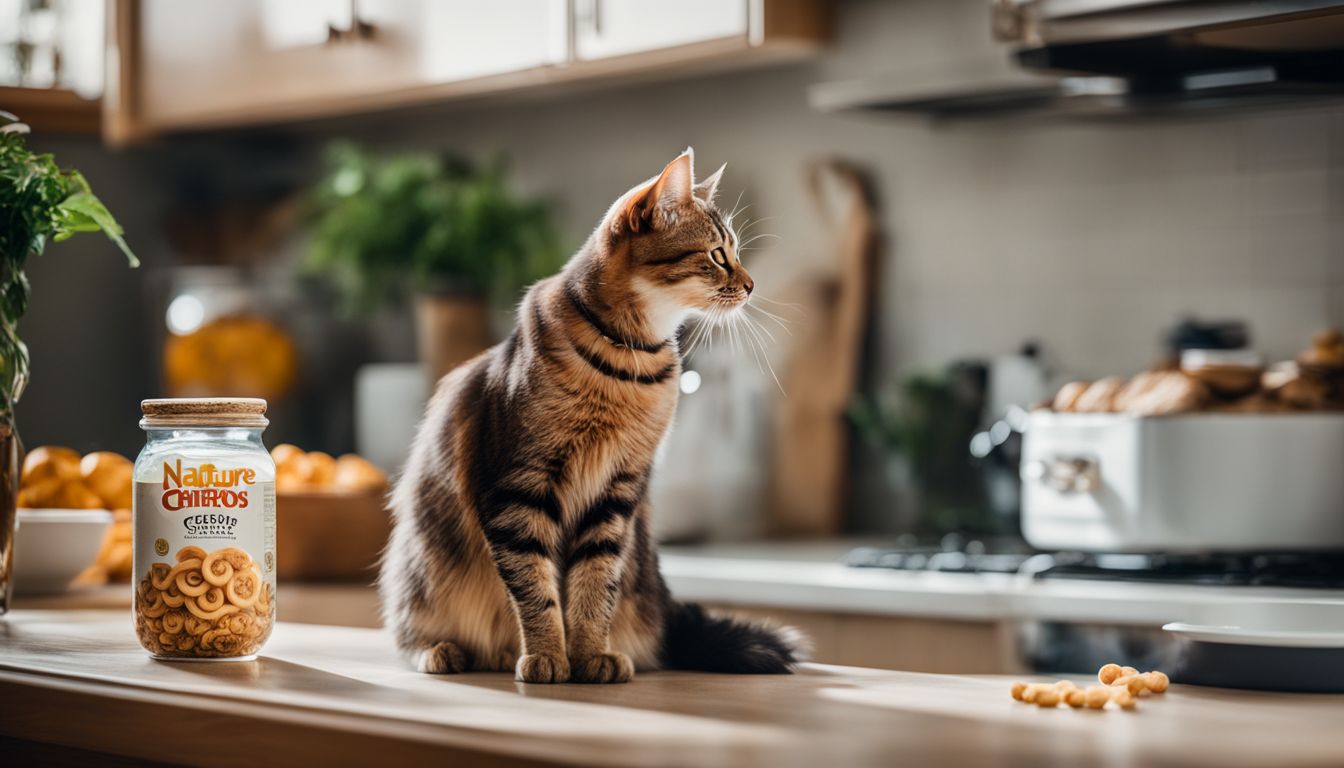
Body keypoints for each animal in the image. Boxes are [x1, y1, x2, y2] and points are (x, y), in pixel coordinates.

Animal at [379, 148, 795, 685]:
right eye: (718, 255)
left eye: (737, 253)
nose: (750, 285)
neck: (628, 366)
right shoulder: (517, 488)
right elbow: (535, 588)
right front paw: (547, 655)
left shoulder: (616, 493)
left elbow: (594, 586)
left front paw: (589, 654)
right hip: (422, 568)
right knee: (409, 631)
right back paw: (449, 650)